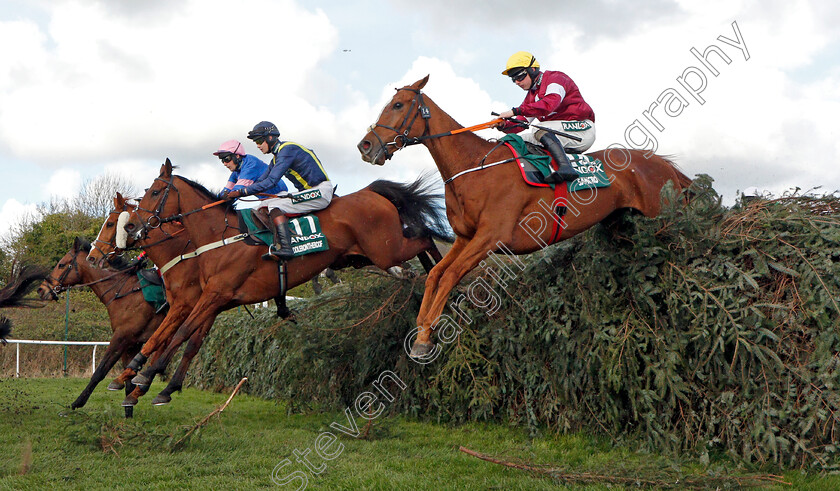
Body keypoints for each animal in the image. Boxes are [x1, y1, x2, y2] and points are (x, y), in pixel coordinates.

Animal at [37, 238, 162, 418]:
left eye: (61, 264)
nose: (41, 289)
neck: (124, 291)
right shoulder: (132, 343)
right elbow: (128, 378)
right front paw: (128, 414)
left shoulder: (121, 338)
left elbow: (100, 372)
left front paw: (77, 403)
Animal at [118, 160, 452, 404]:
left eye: (155, 191)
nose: (133, 227)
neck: (217, 237)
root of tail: (371, 192)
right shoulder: (216, 299)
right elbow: (188, 341)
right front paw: (149, 383)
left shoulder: (214, 295)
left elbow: (181, 333)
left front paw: (143, 377)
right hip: (359, 256)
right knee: (415, 247)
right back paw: (425, 280)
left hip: (385, 249)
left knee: (424, 236)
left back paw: (441, 278)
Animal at [358, 74, 692, 358]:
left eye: (398, 105)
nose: (366, 145)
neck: (474, 167)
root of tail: (661, 162)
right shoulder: (465, 237)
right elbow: (435, 275)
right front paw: (421, 333)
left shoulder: (491, 237)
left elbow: (450, 275)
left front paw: (425, 338)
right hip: (622, 222)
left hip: (661, 215)